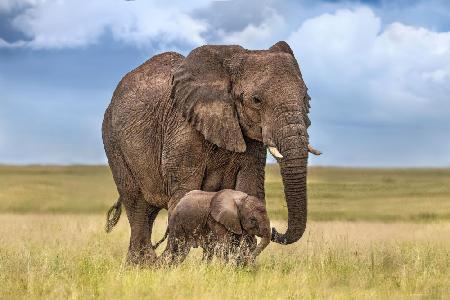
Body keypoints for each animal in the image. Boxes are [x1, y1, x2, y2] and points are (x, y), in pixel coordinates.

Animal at [103, 41, 318, 264]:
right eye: (256, 100)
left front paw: (242, 264)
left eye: (306, 98)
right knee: (137, 206)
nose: (276, 231)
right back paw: (145, 264)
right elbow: (185, 190)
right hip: (113, 142)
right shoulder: (183, 127)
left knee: (148, 211)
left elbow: (249, 186)